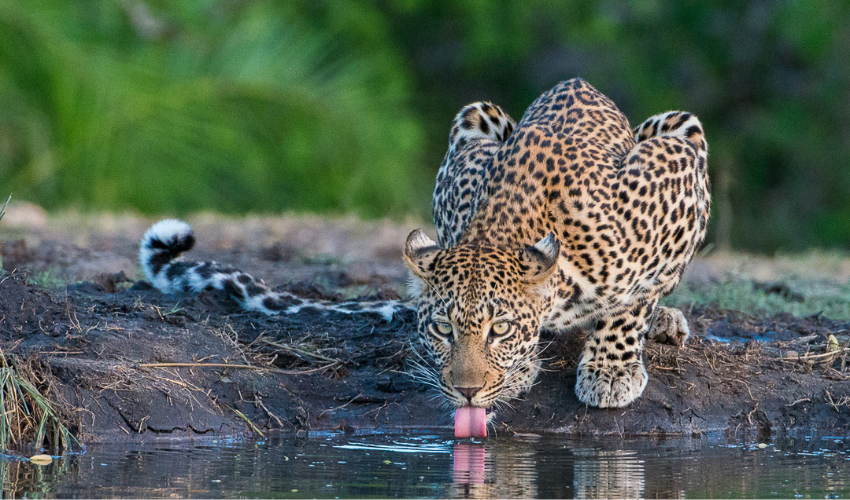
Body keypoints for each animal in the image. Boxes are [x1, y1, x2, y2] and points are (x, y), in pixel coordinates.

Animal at [404, 77, 709, 409]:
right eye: (443, 328)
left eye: (500, 329)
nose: (467, 392)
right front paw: (520, 367)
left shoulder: (675, 170)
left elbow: (635, 303)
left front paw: (611, 371)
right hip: (476, 114)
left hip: (684, 127)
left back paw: (666, 320)